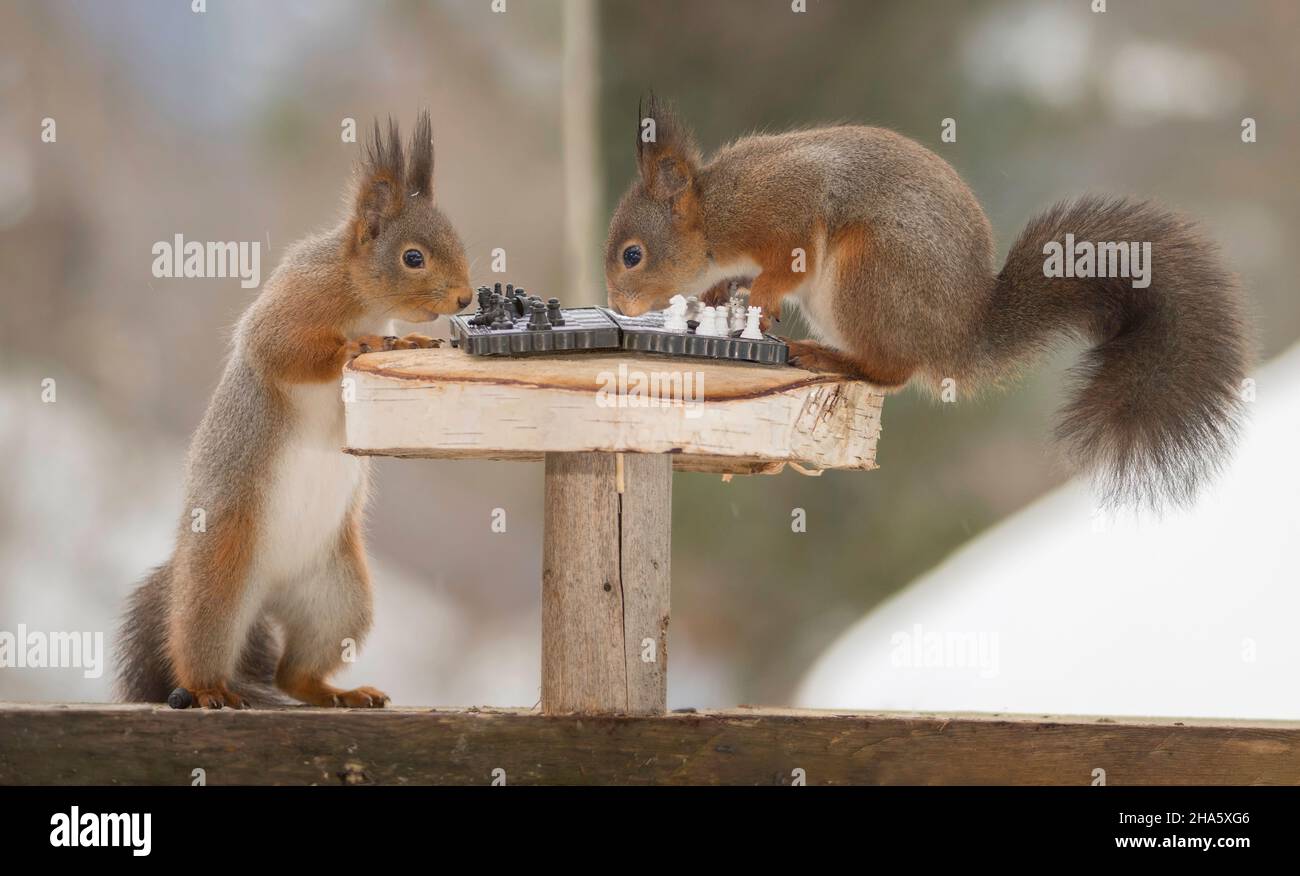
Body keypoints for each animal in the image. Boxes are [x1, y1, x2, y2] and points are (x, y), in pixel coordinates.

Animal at [119, 112, 475, 707]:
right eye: (413, 257)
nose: (466, 299)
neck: (358, 294)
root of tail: (270, 594)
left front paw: (405, 343)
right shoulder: (294, 303)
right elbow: (283, 349)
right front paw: (362, 346)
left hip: (339, 596)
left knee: (295, 673)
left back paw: (339, 693)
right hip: (221, 577)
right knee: (196, 643)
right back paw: (209, 689)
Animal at [605, 96, 1248, 509]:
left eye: (633, 255)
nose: (619, 305)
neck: (715, 213)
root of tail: (961, 336)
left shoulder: (785, 207)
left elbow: (790, 256)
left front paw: (761, 295)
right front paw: (720, 293)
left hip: (871, 273)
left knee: (890, 371)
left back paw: (828, 356)